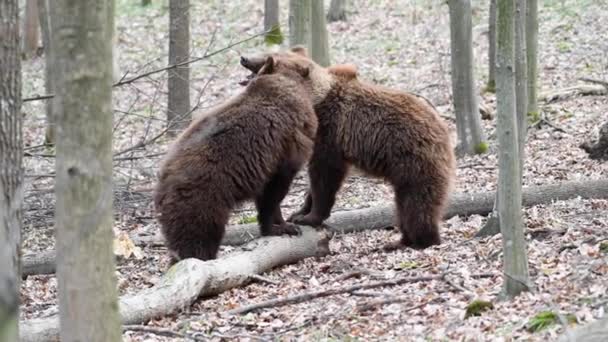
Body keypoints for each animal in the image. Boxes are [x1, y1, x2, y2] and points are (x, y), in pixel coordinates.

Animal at [154, 54, 320, 260]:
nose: (244, 57)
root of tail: (163, 180)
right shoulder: (285, 150)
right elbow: (273, 194)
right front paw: (280, 227)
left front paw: (280, 224)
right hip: (203, 198)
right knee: (199, 236)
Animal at [240, 48, 454, 250]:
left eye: (269, 57)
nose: (244, 57)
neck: (314, 101)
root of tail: (444, 129)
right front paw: (298, 212)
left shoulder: (330, 130)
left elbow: (325, 174)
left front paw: (309, 217)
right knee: (403, 204)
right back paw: (400, 241)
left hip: (413, 158)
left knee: (417, 203)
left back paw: (422, 240)